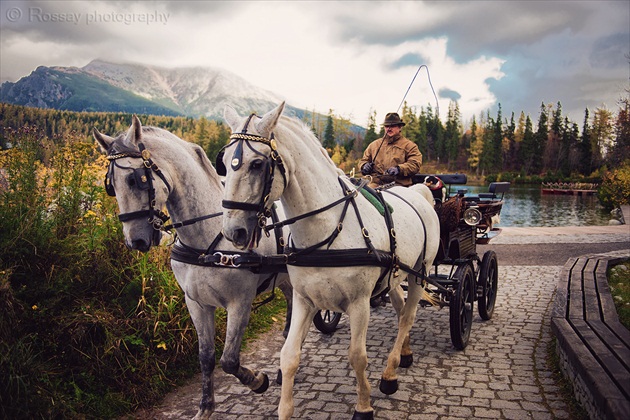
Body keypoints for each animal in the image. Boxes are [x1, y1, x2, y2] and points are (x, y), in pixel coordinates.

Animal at [94, 116, 294, 420]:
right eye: (110, 185)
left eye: (135, 179)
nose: (134, 241)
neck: (206, 240)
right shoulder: (196, 302)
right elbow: (206, 357)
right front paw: (205, 408)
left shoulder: (240, 303)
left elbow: (229, 361)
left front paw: (258, 381)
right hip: (284, 281)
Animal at [221, 102, 440, 420]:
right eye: (224, 162)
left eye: (257, 164)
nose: (232, 231)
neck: (328, 228)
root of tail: (419, 192)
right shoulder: (304, 299)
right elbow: (288, 356)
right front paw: (285, 409)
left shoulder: (360, 304)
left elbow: (357, 357)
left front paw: (363, 406)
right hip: (395, 274)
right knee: (401, 311)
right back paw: (405, 354)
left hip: (419, 273)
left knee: (408, 316)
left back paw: (390, 374)